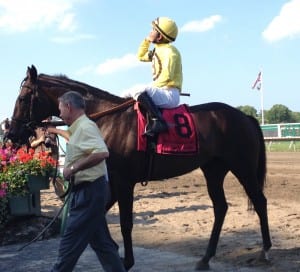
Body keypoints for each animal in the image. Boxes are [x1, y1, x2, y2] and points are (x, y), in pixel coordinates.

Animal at [7, 65, 272, 270]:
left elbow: (125, 223)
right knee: (220, 207)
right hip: (213, 169)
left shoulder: (124, 180)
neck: (107, 118)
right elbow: (100, 213)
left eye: (22, 98)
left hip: (243, 167)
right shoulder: (111, 179)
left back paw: (265, 251)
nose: (11, 135)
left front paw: (126, 261)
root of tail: (244, 117)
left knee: (259, 201)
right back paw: (206, 258)